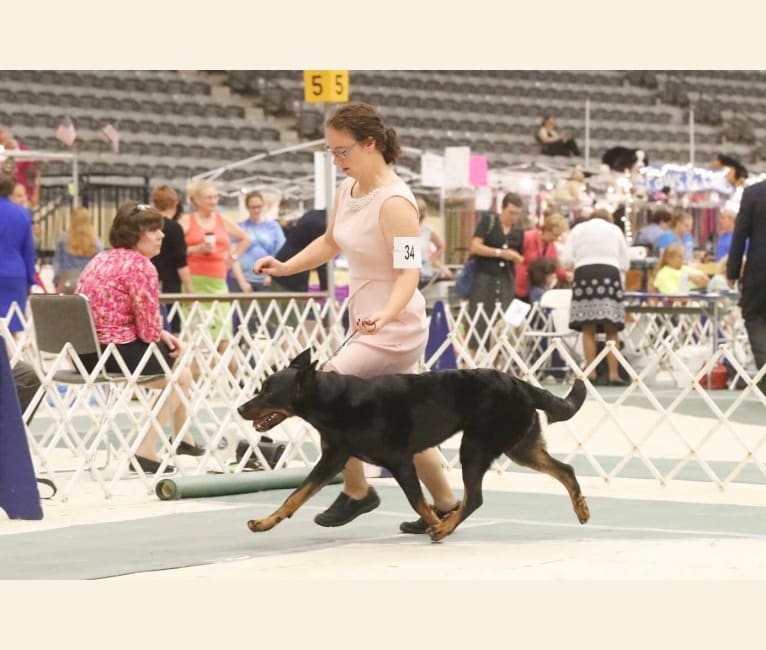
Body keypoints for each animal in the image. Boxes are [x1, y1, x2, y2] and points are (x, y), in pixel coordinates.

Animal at [237, 346, 592, 540]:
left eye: (268, 392)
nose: (241, 408)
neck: (333, 400)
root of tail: (521, 384)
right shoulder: (333, 458)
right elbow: (295, 497)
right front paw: (264, 523)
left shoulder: (399, 461)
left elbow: (418, 501)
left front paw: (436, 525)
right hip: (520, 446)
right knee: (566, 470)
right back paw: (582, 509)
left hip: (476, 446)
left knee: (474, 498)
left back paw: (445, 528)